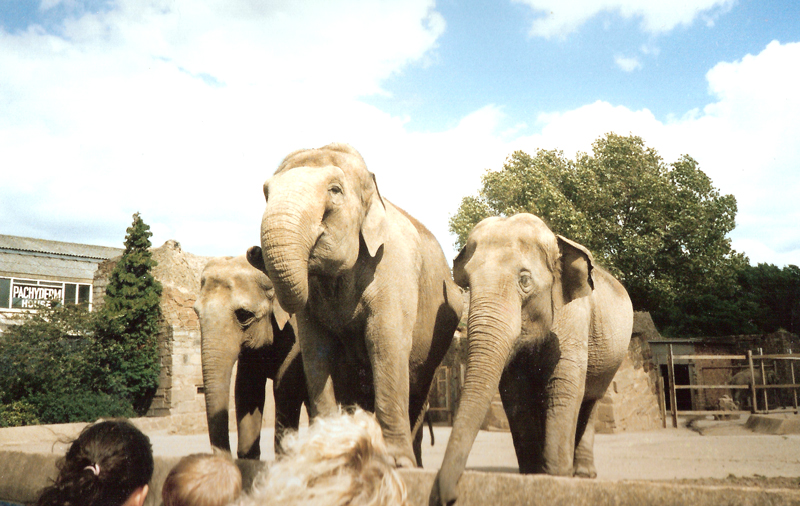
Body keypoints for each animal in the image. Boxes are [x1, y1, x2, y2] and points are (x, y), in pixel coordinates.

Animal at [247, 142, 462, 468]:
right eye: (265, 193)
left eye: (335, 190)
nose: (253, 252)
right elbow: (316, 350)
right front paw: (324, 457)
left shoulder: (394, 270)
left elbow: (384, 343)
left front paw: (396, 463)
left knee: (417, 386)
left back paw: (414, 463)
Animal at [430, 213, 633, 506]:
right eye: (467, 283)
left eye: (524, 281)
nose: (447, 496)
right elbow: (516, 394)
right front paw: (533, 477)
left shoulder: (575, 316)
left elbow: (563, 388)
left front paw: (556, 479)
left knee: (590, 400)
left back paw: (583, 474)